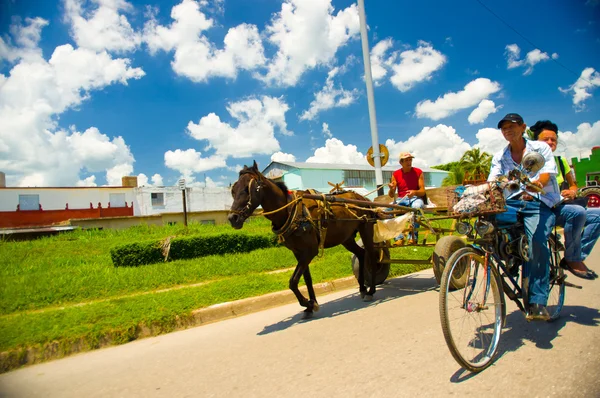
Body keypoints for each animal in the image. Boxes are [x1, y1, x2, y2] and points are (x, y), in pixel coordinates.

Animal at [227, 160, 378, 316]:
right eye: (233, 191)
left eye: (247, 189)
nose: (232, 218)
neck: (290, 210)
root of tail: (364, 199)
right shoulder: (298, 252)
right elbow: (307, 278)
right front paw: (312, 305)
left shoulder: (310, 251)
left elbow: (293, 281)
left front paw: (307, 303)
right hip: (346, 238)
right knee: (361, 253)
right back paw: (362, 288)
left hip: (366, 228)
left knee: (371, 255)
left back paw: (371, 290)